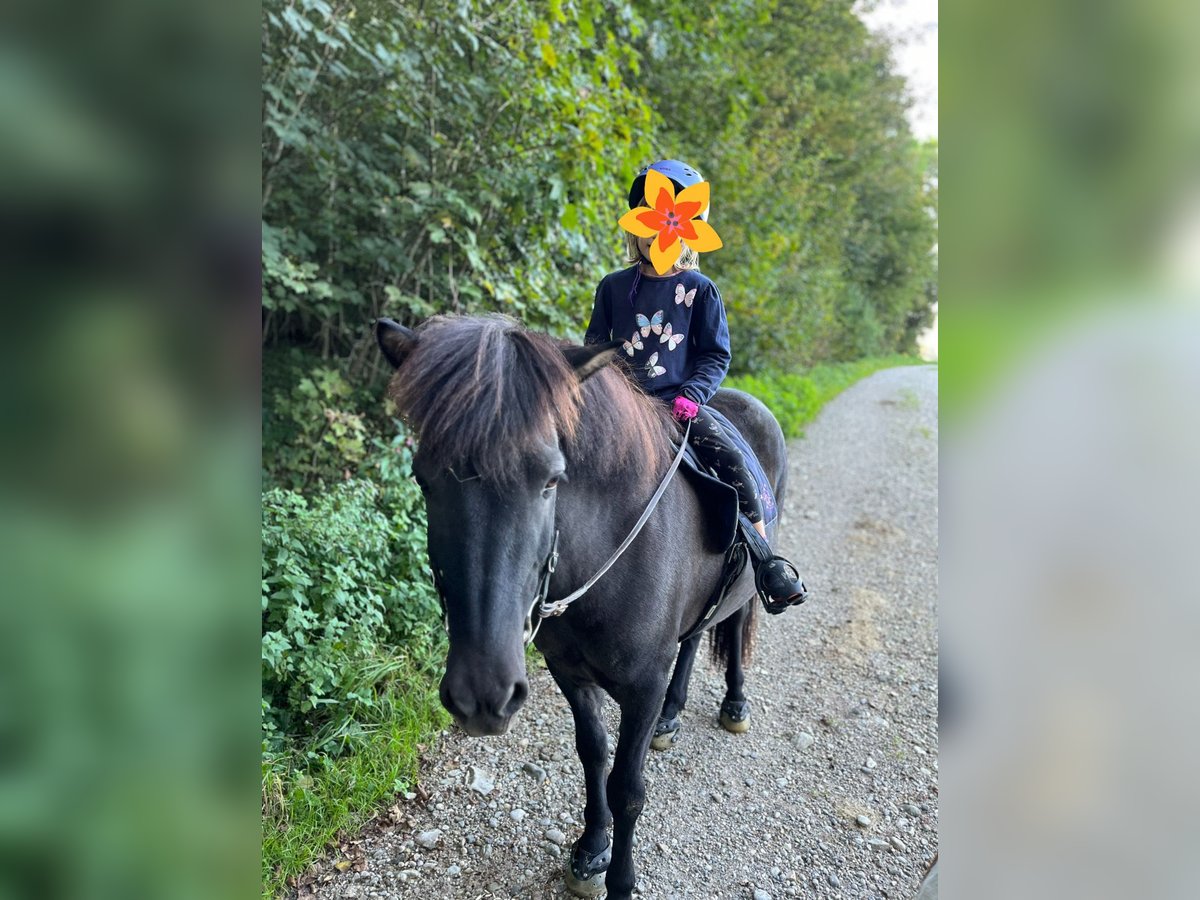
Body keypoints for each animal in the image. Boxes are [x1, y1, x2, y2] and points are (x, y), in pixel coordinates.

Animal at [374, 314, 787, 900]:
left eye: (551, 479)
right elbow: (593, 755)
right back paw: (673, 715)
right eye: (422, 478)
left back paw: (734, 704)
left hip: (747, 589)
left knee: (732, 630)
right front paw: (591, 850)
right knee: (692, 642)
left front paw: (621, 879)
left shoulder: (641, 686)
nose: (481, 694)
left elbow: (628, 787)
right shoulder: (569, 672)